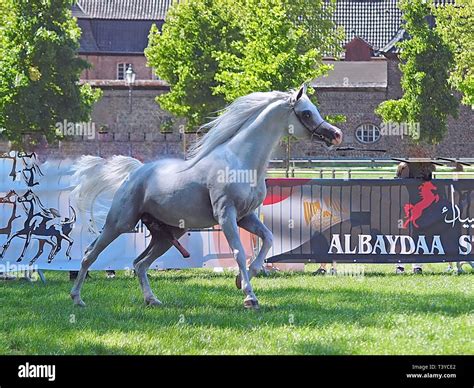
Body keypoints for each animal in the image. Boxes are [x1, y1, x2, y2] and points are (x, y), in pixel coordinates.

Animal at [70, 85, 342, 310]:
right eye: (306, 113)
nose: (335, 135)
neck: (241, 161)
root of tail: (136, 172)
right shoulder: (226, 215)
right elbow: (238, 252)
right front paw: (249, 297)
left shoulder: (246, 217)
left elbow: (268, 239)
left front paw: (242, 279)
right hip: (120, 223)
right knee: (90, 255)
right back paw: (77, 298)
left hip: (167, 235)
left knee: (140, 264)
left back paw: (152, 300)